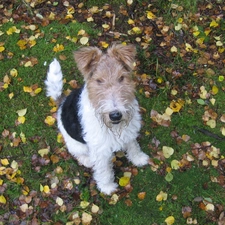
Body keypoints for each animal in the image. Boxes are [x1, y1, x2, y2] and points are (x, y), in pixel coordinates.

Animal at [45, 44, 149, 195]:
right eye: (99, 80)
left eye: (121, 78)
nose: (115, 115)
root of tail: (62, 102)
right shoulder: (100, 151)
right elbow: (104, 171)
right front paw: (107, 187)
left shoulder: (129, 130)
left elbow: (133, 146)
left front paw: (139, 159)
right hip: (76, 143)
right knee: (77, 153)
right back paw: (88, 160)